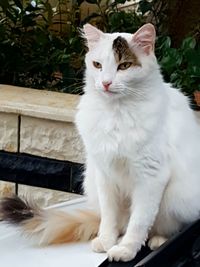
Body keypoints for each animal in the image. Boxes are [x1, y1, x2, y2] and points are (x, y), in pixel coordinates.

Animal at [0, 23, 200, 262]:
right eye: (97, 65)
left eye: (124, 66)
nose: (105, 83)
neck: (115, 113)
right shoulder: (105, 174)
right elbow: (109, 217)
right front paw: (106, 241)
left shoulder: (150, 177)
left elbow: (139, 221)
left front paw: (126, 250)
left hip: (177, 198)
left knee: (165, 225)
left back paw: (158, 240)